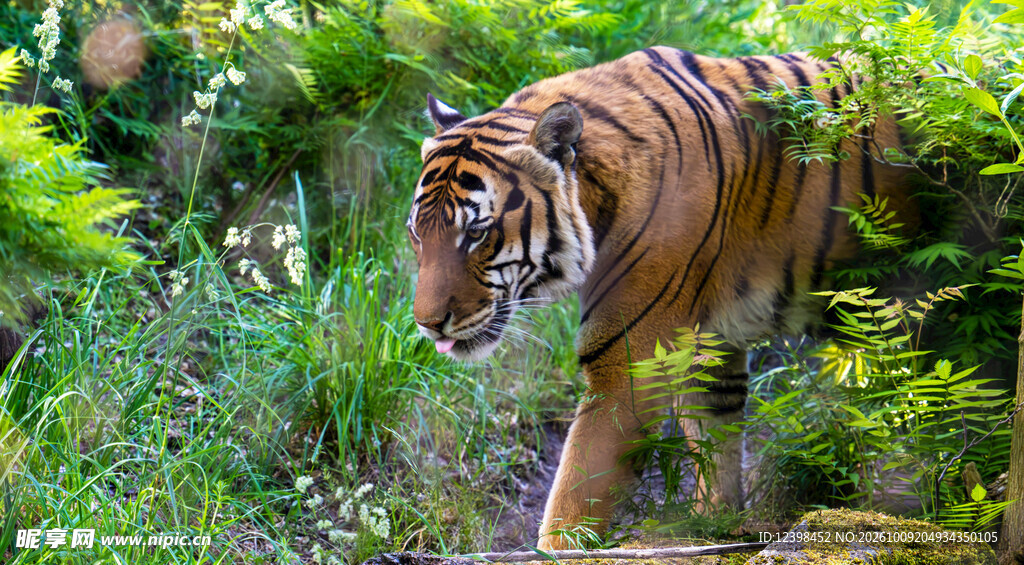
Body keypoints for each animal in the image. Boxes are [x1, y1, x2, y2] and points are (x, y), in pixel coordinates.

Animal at [406, 46, 912, 550]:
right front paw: (715, 527)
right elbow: (716, 443)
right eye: (416, 234)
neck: (597, 195)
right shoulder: (712, 344)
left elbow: (577, 491)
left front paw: (554, 551)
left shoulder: (627, 363)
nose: (427, 324)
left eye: (476, 232)